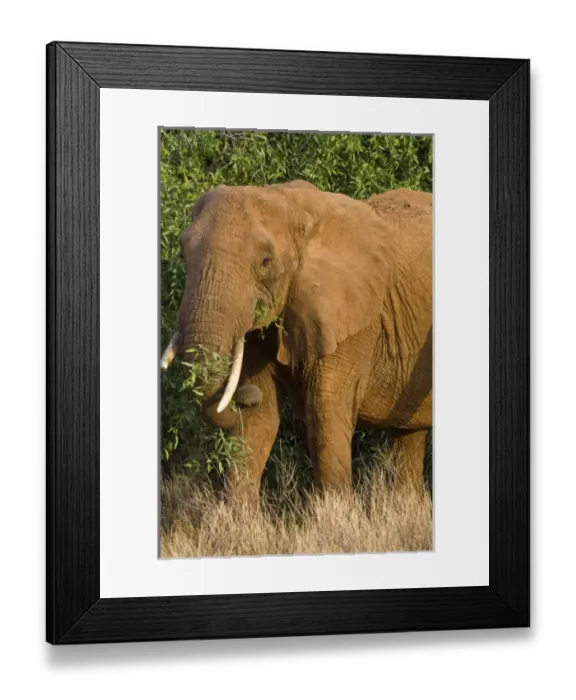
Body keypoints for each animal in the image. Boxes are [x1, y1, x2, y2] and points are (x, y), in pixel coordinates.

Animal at [161, 180, 432, 502]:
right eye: (183, 255)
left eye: (266, 261)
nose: (244, 395)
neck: (291, 203)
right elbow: (261, 420)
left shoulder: (350, 319)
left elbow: (324, 415)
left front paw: (334, 513)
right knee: (407, 439)